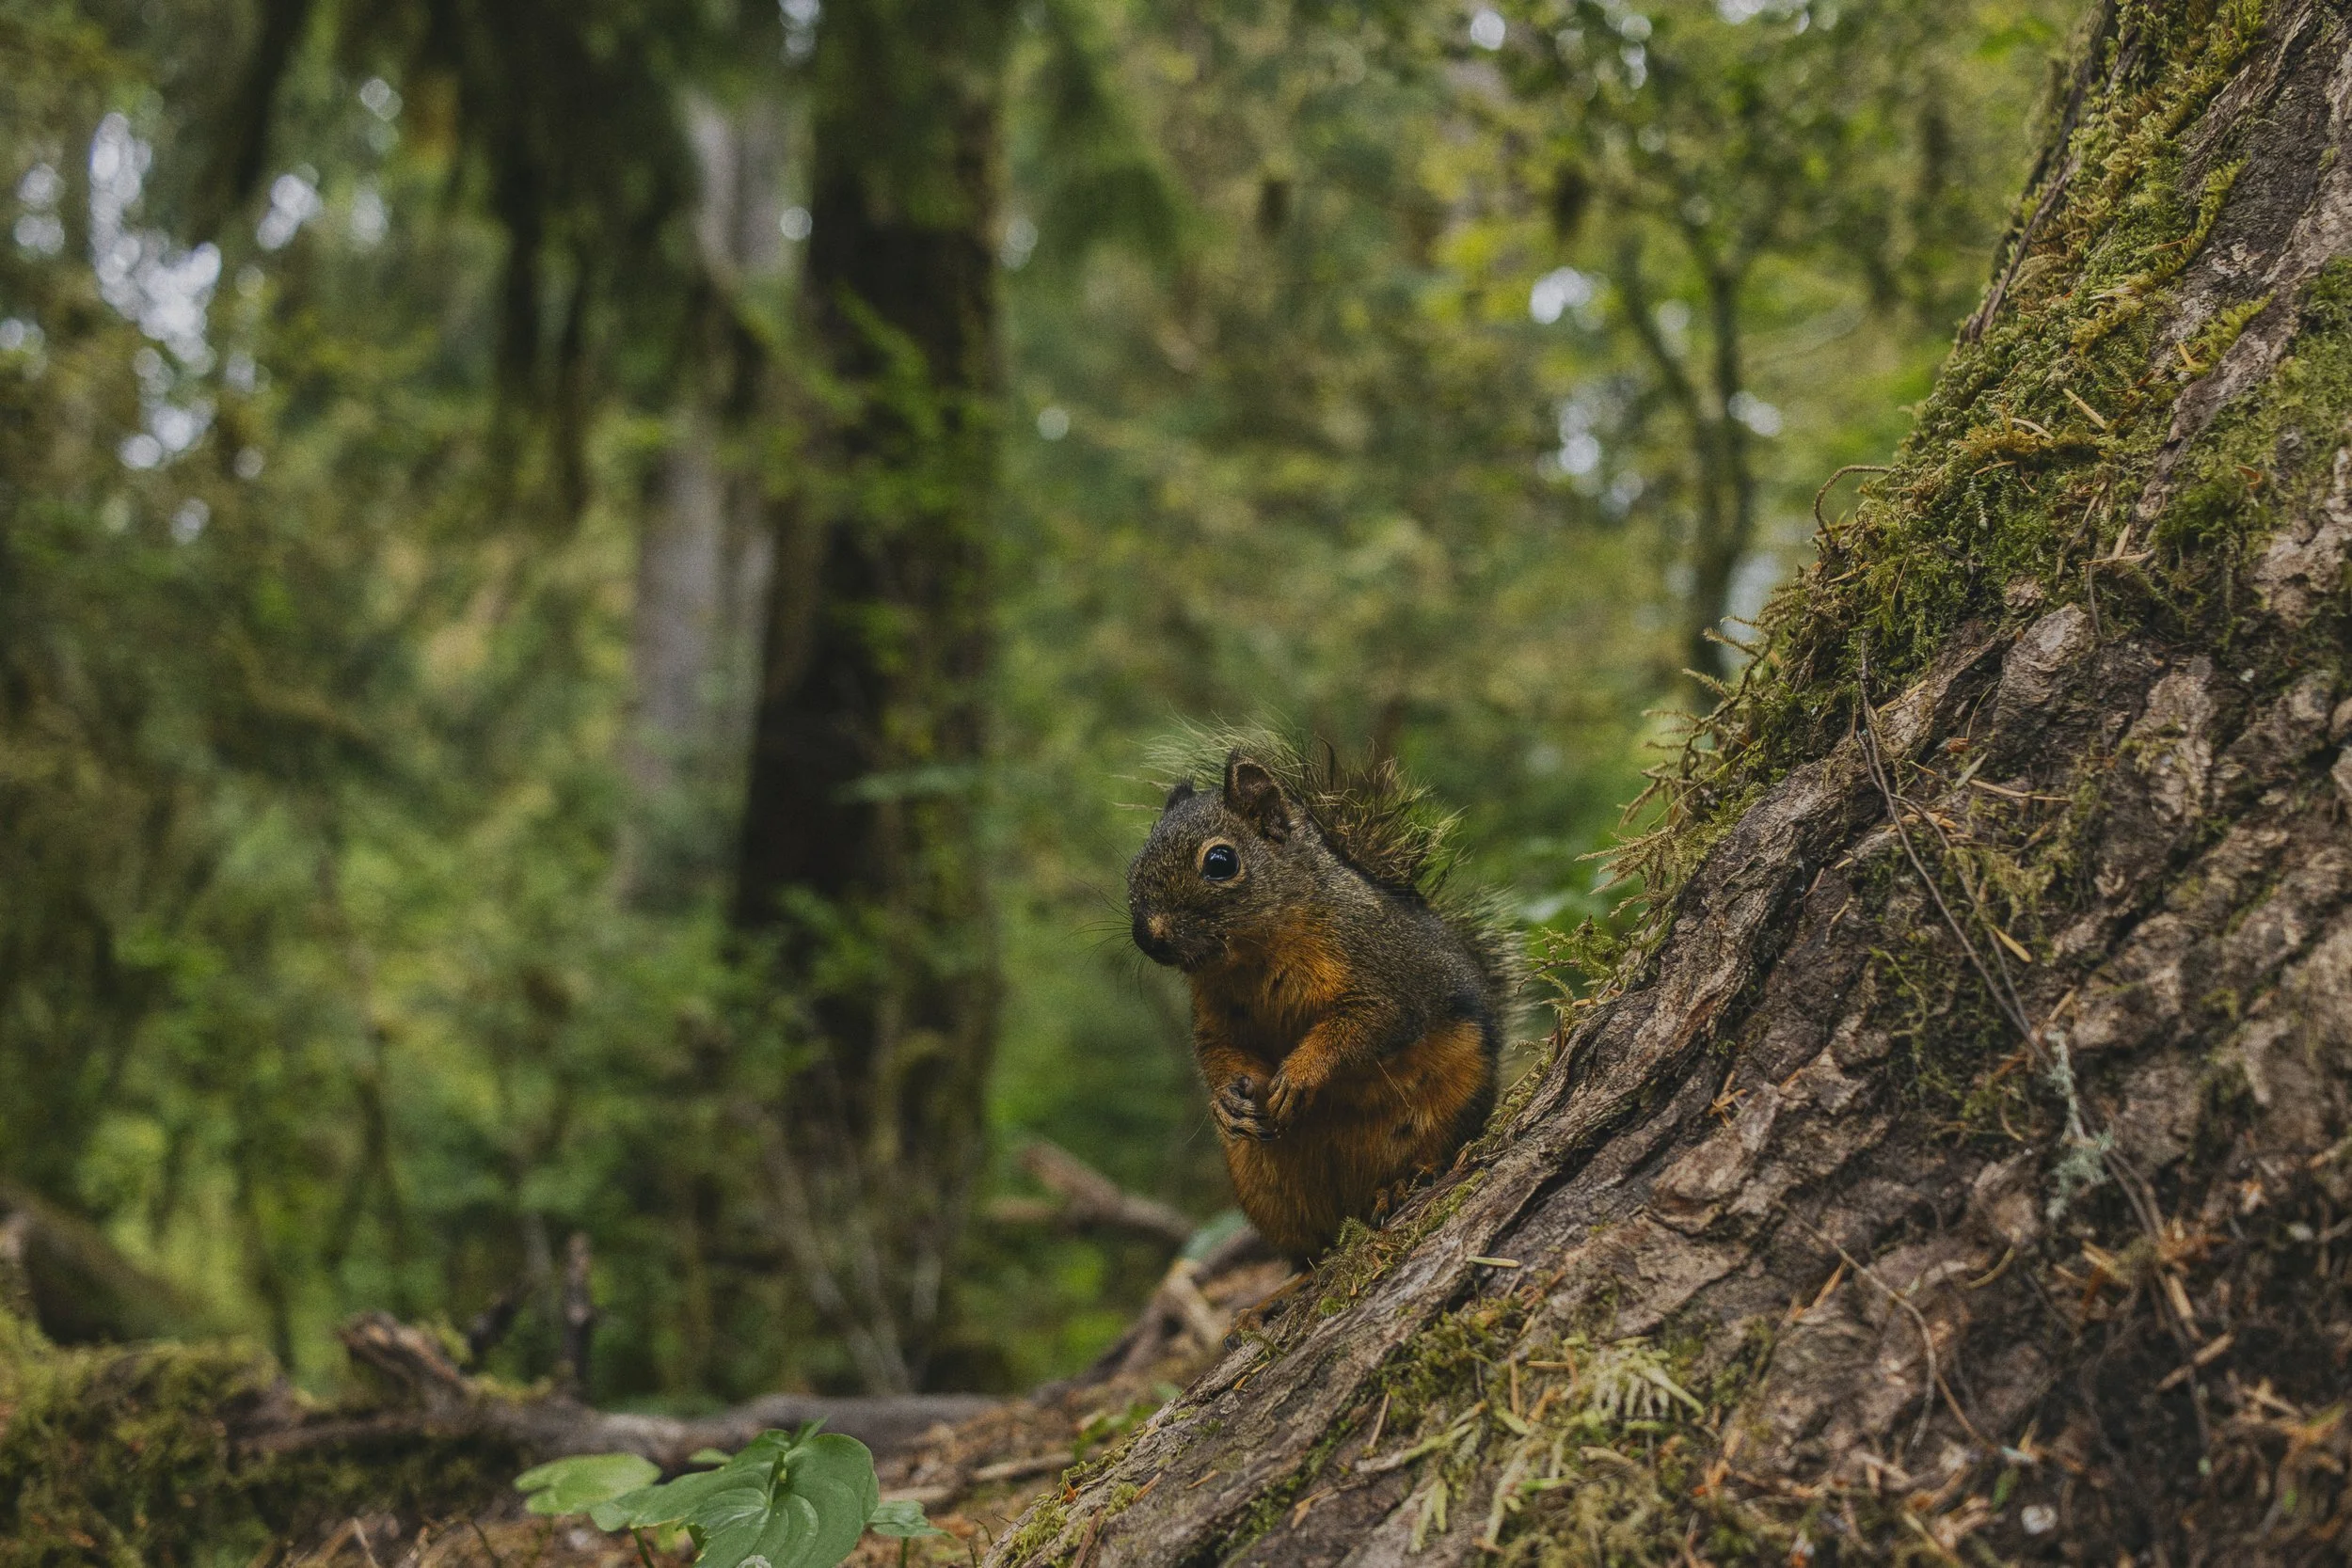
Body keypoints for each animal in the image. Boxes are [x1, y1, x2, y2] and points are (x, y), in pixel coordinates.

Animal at [1126, 736, 1521, 1258]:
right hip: (1263, 1183)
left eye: (1220, 862)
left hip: (1454, 1101)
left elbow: (1364, 1026)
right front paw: (1227, 1098)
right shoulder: (1214, 1014)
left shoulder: (1386, 977)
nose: (1147, 936)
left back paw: (1403, 1183)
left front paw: (1300, 1074)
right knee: (1309, 1247)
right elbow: (1218, 1052)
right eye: (1133, 866)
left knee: (1434, 1154)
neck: (1257, 955)